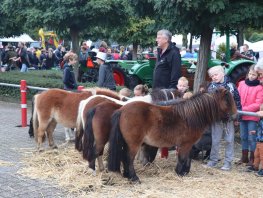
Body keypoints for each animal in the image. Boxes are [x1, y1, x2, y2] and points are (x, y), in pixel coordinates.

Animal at [108, 88, 238, 183]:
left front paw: (185, 172)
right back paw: (134, 178)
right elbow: (182, 158)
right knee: (128, 159)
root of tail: (122, 110)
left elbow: (188, 157)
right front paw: (179, 172)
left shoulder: (189, 145)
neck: (191, 116)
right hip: (134, 144)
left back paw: (127, 175)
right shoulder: (185, 144)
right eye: (228, 101)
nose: (235, 117)